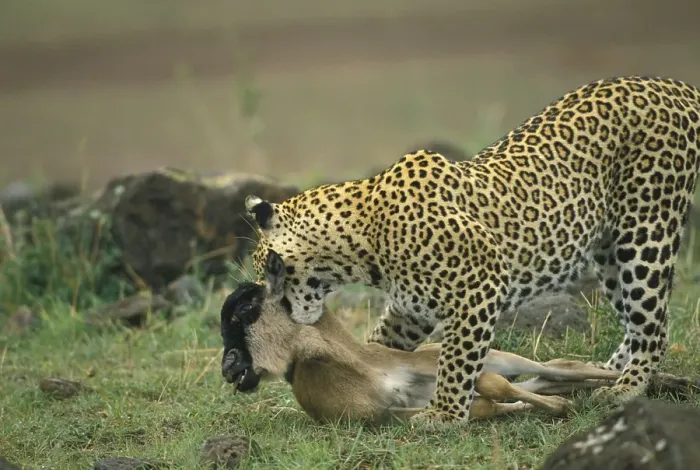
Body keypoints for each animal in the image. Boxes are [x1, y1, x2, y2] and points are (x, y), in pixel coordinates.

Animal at [243, 76, 700, 428]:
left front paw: (444, 414)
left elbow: (458, 359)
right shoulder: (411, 308)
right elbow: (384, 344)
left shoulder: (479, 287)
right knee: (635, 323)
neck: (363, 239)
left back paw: (627, 387)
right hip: (609, 251)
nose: (269, 303)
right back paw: (612, 371)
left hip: (645, 233)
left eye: (271, 267)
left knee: (653, 325)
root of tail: (674, 86)